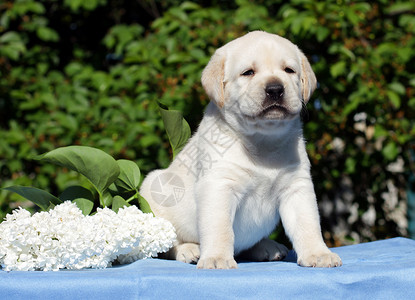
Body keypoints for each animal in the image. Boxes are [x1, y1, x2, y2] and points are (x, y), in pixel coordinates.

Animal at [141, 31, 342, 270]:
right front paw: (217, 258)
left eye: (289, 70)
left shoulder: (297, 186)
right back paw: (189, 250)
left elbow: (308, 223)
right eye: (248, 72)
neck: (263, 141)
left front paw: (318, 253)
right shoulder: (219, 186)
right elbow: (220, 228)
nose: (275, 89)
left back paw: (267, 246)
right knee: (167, 245)